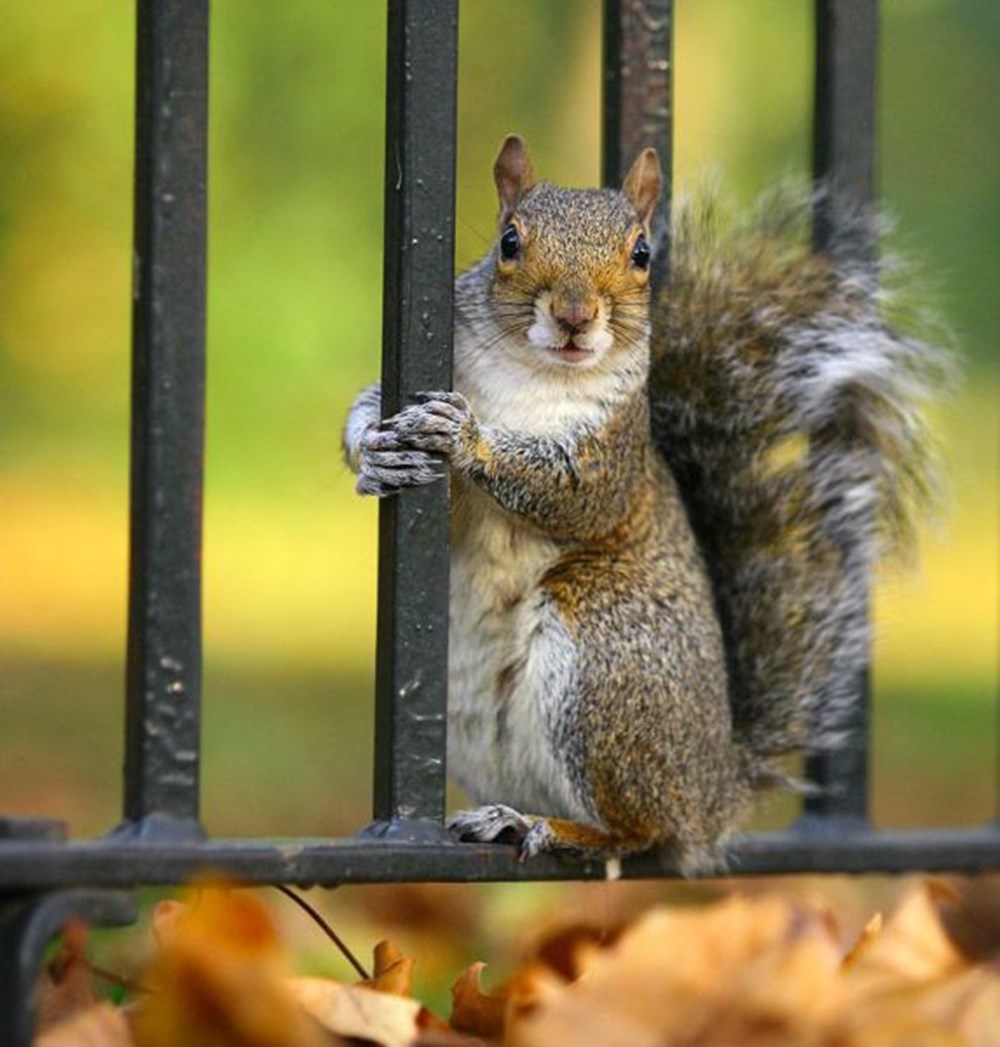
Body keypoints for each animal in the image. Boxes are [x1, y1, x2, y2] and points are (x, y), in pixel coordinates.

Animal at [343, 139, 946, 875]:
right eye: (510, 241)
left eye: (641, 254)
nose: (575, 316)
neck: (534, 375)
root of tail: (713, 793)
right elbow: (377, 422)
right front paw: (375, 450)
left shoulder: (616, 452)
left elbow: (572, 495)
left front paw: (466, 438)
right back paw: (510, 815)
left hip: (604, 654)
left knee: (640, 831)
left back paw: (547, 826)